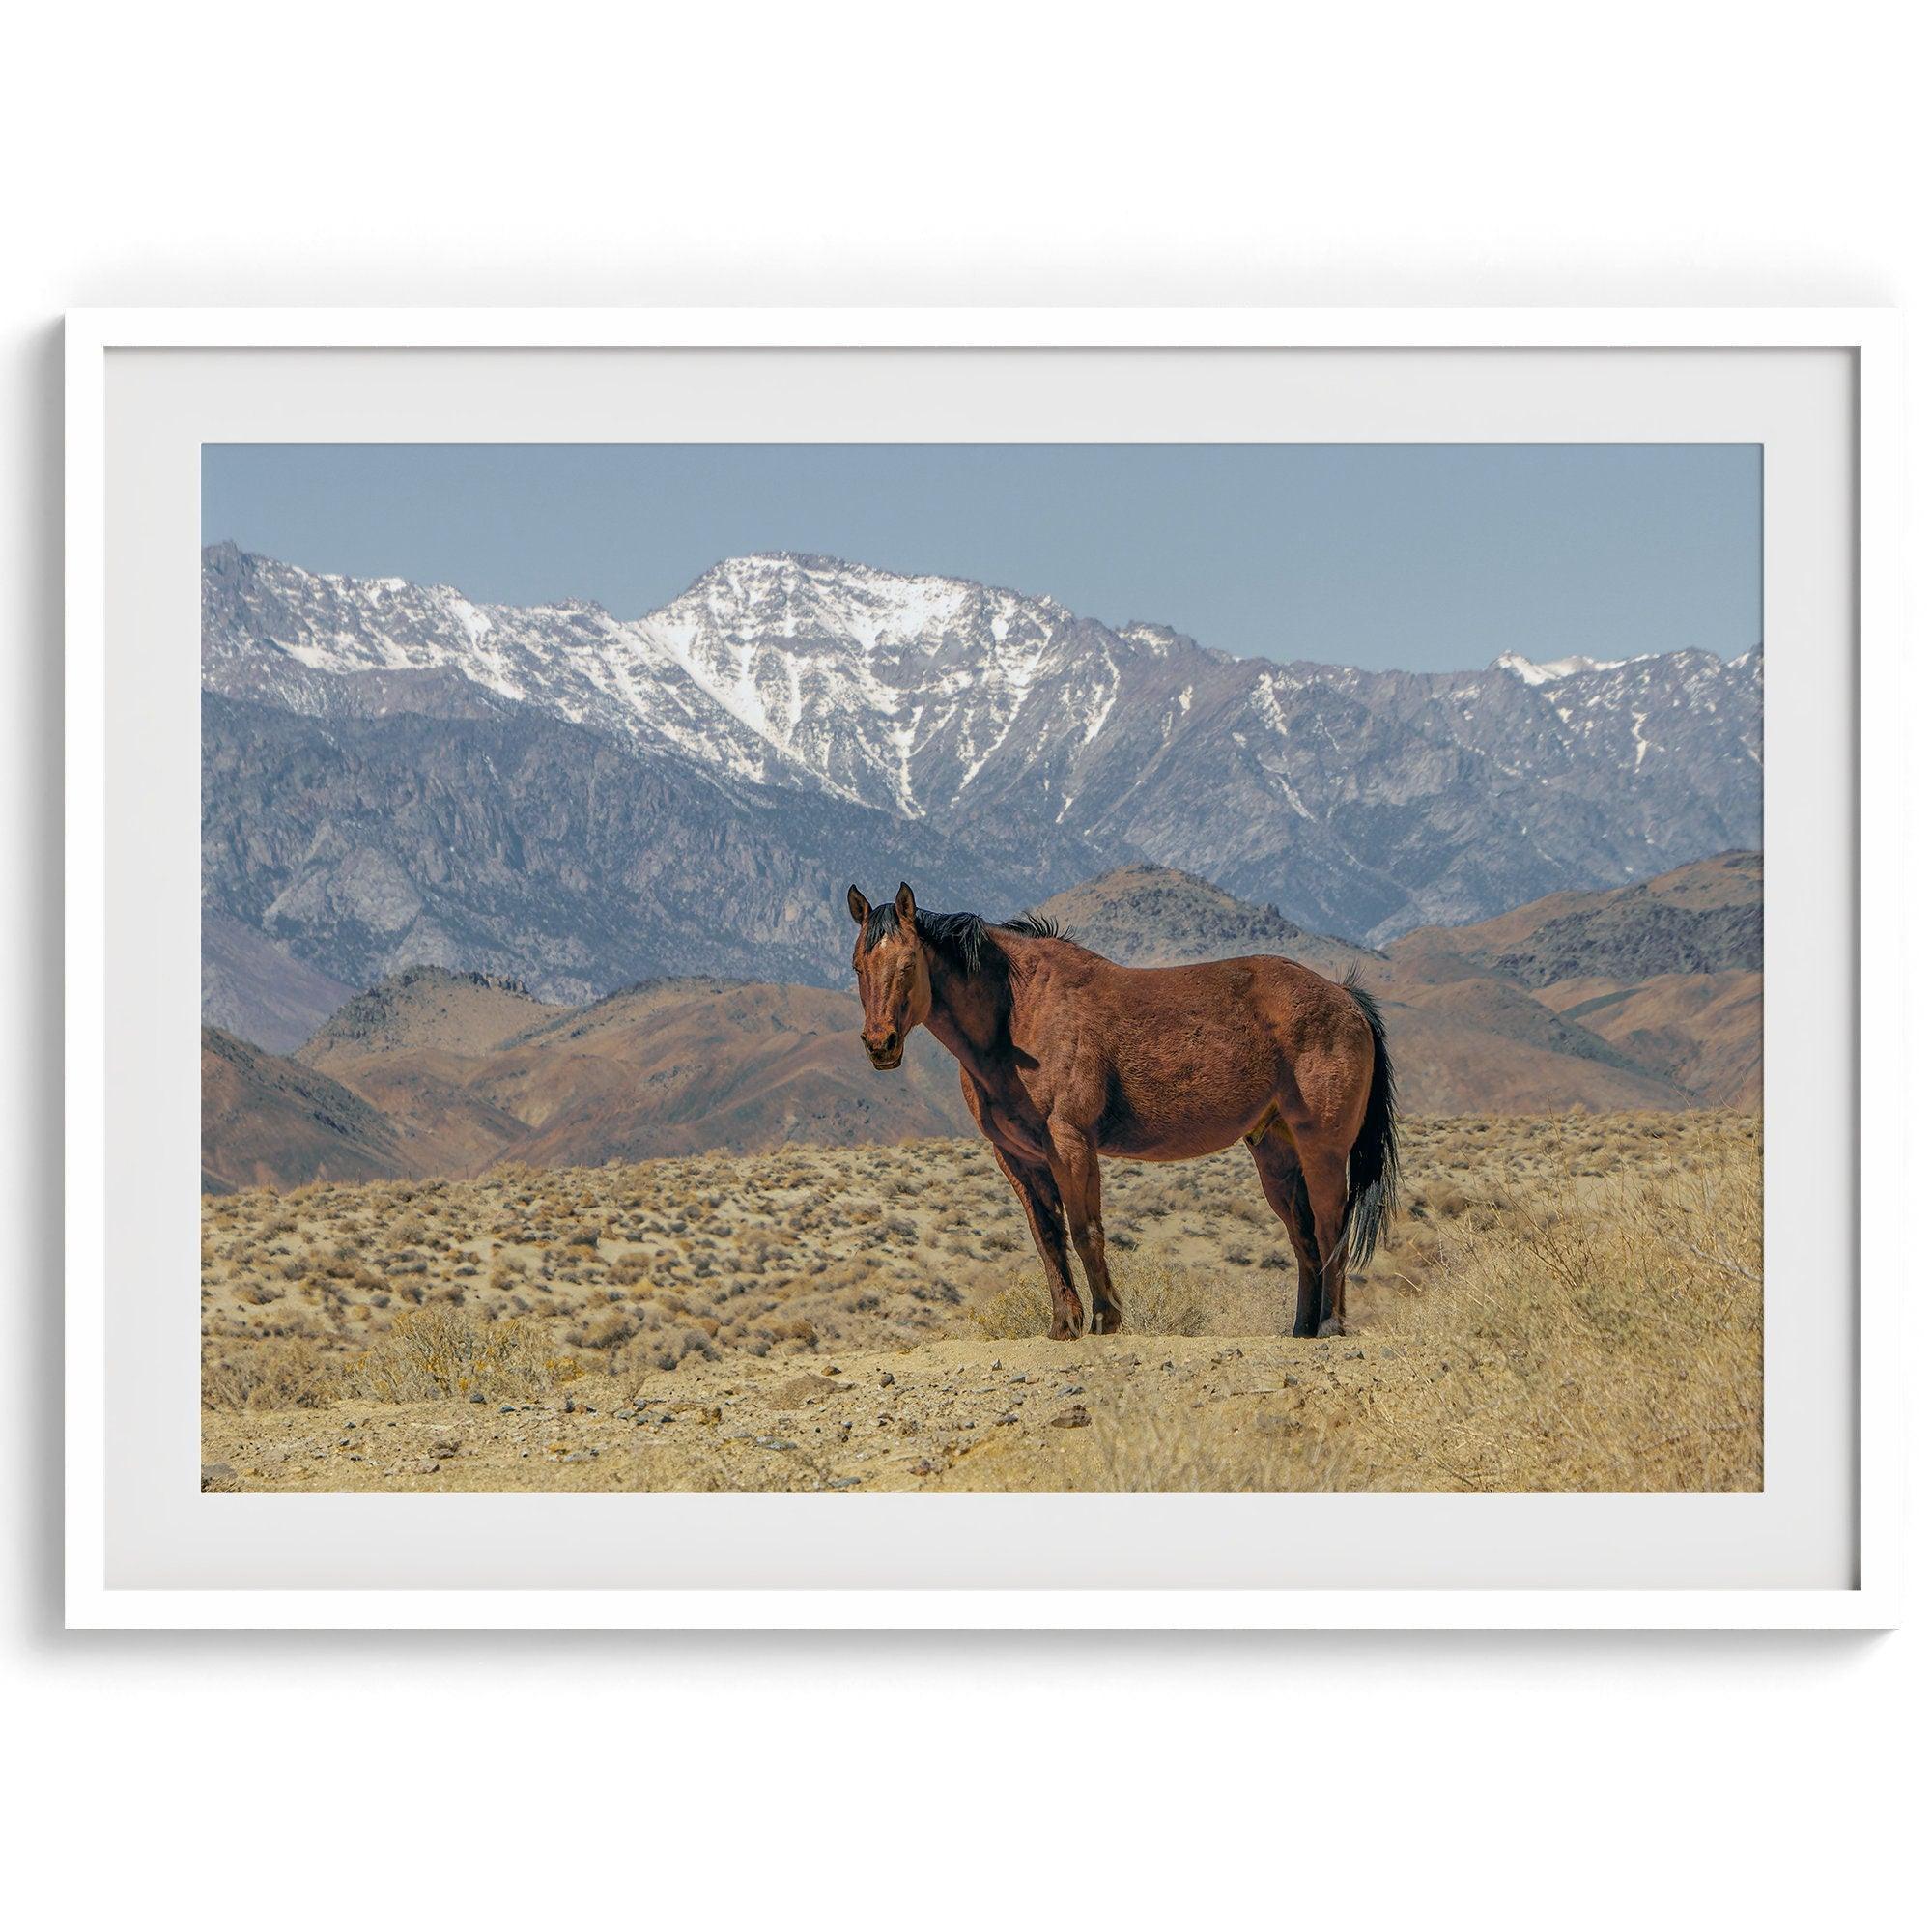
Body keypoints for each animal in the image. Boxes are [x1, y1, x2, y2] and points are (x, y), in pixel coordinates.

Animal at [846, 885, 1406, 1337]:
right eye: (858, 966)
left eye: (908, 964)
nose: (879, 1045)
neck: (1020, 1012)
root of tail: (1346, 999)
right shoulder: (1017, 1157)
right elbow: (1047, 1238)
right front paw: (1063, 1326)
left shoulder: (1070, 1143)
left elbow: (1085, 1230)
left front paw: (1105, 1320)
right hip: (1275, 1151)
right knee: (1303, 1237)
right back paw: (1301, 1330)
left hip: (1323, 1149)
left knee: (1331, 1226)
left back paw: (1331, 1326)